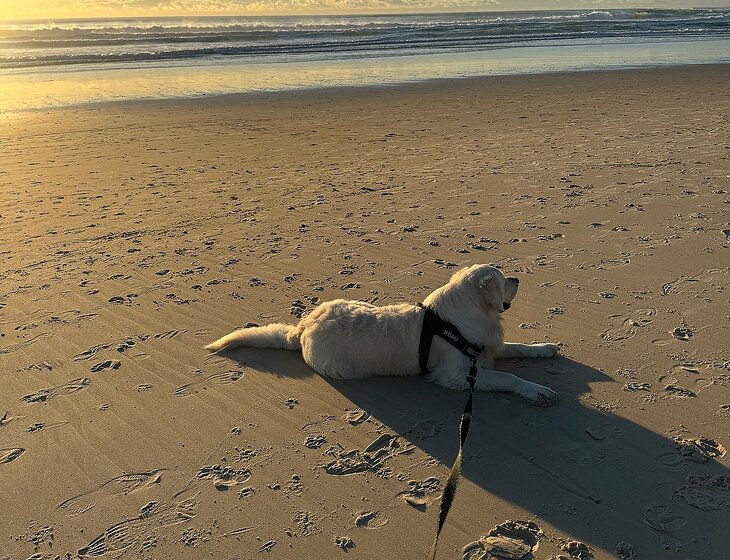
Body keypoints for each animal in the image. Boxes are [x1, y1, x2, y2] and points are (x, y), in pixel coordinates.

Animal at [205, 264, 560, 405]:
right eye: (502, 279)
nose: (518, 278)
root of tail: (303, 328)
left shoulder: (484, 347)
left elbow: (517, 346)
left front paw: (544, 347)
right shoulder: (457, 375)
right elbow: (508, 378)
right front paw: (537, 390)